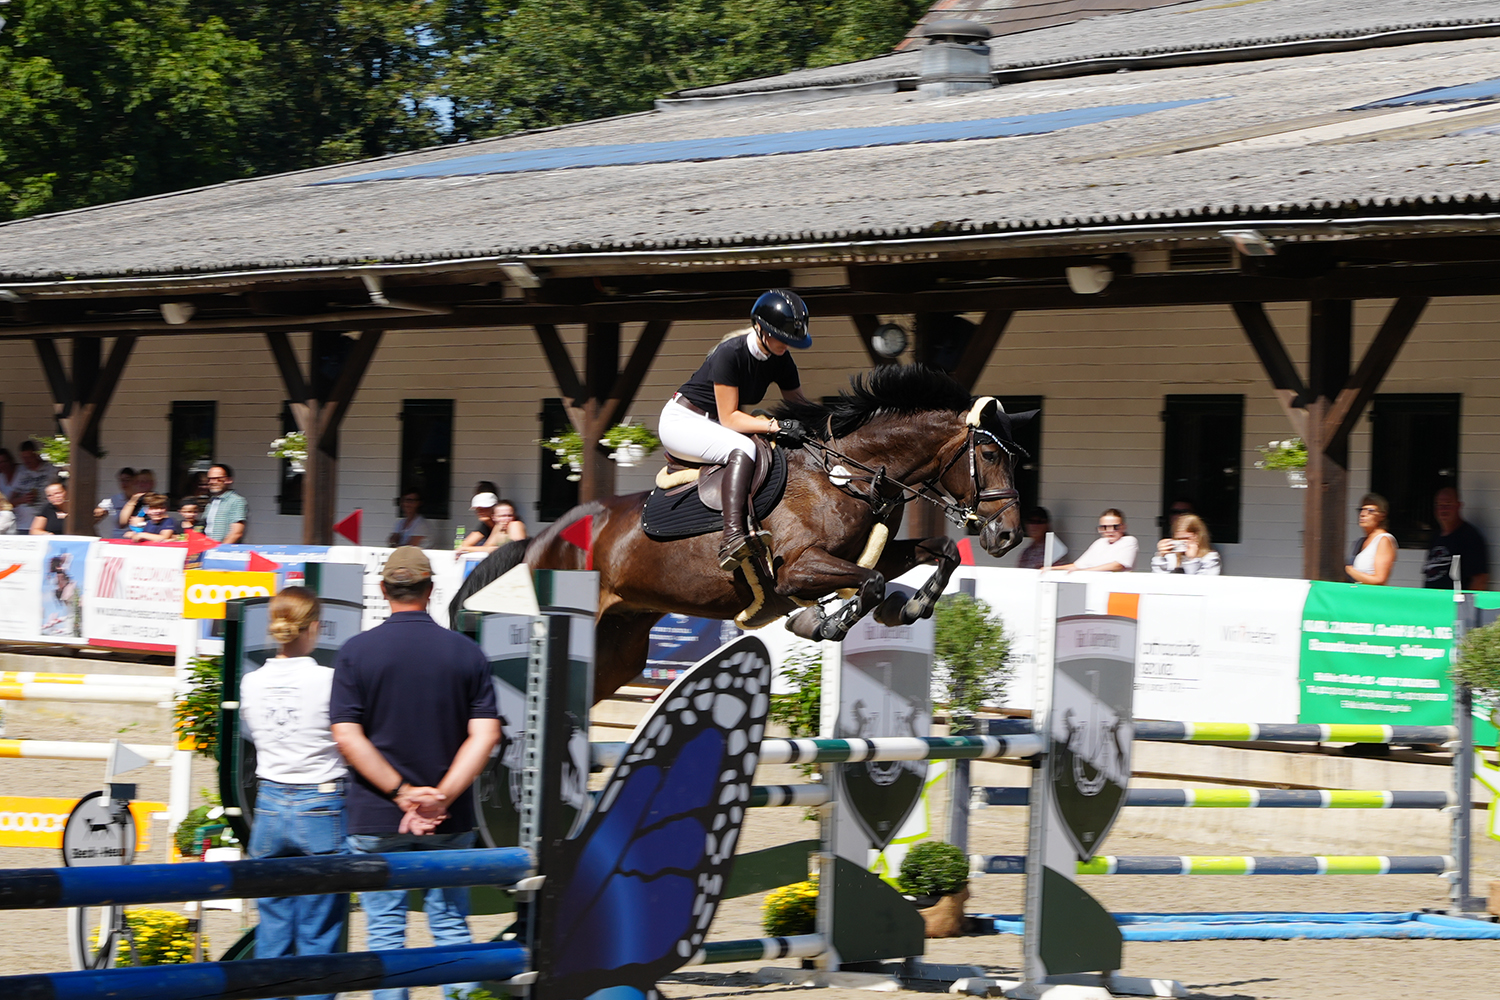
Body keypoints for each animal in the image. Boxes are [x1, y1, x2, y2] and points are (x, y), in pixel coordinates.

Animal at [455, 365, 1032, 702]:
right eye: (988, 453)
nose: (1008, 536)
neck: (847, 473)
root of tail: (540, 540)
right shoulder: (799, 568)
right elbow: (867, 585)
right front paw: (821, 622)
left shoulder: (871, 553)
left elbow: (937, 553)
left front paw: (911, 607)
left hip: (619, 644)